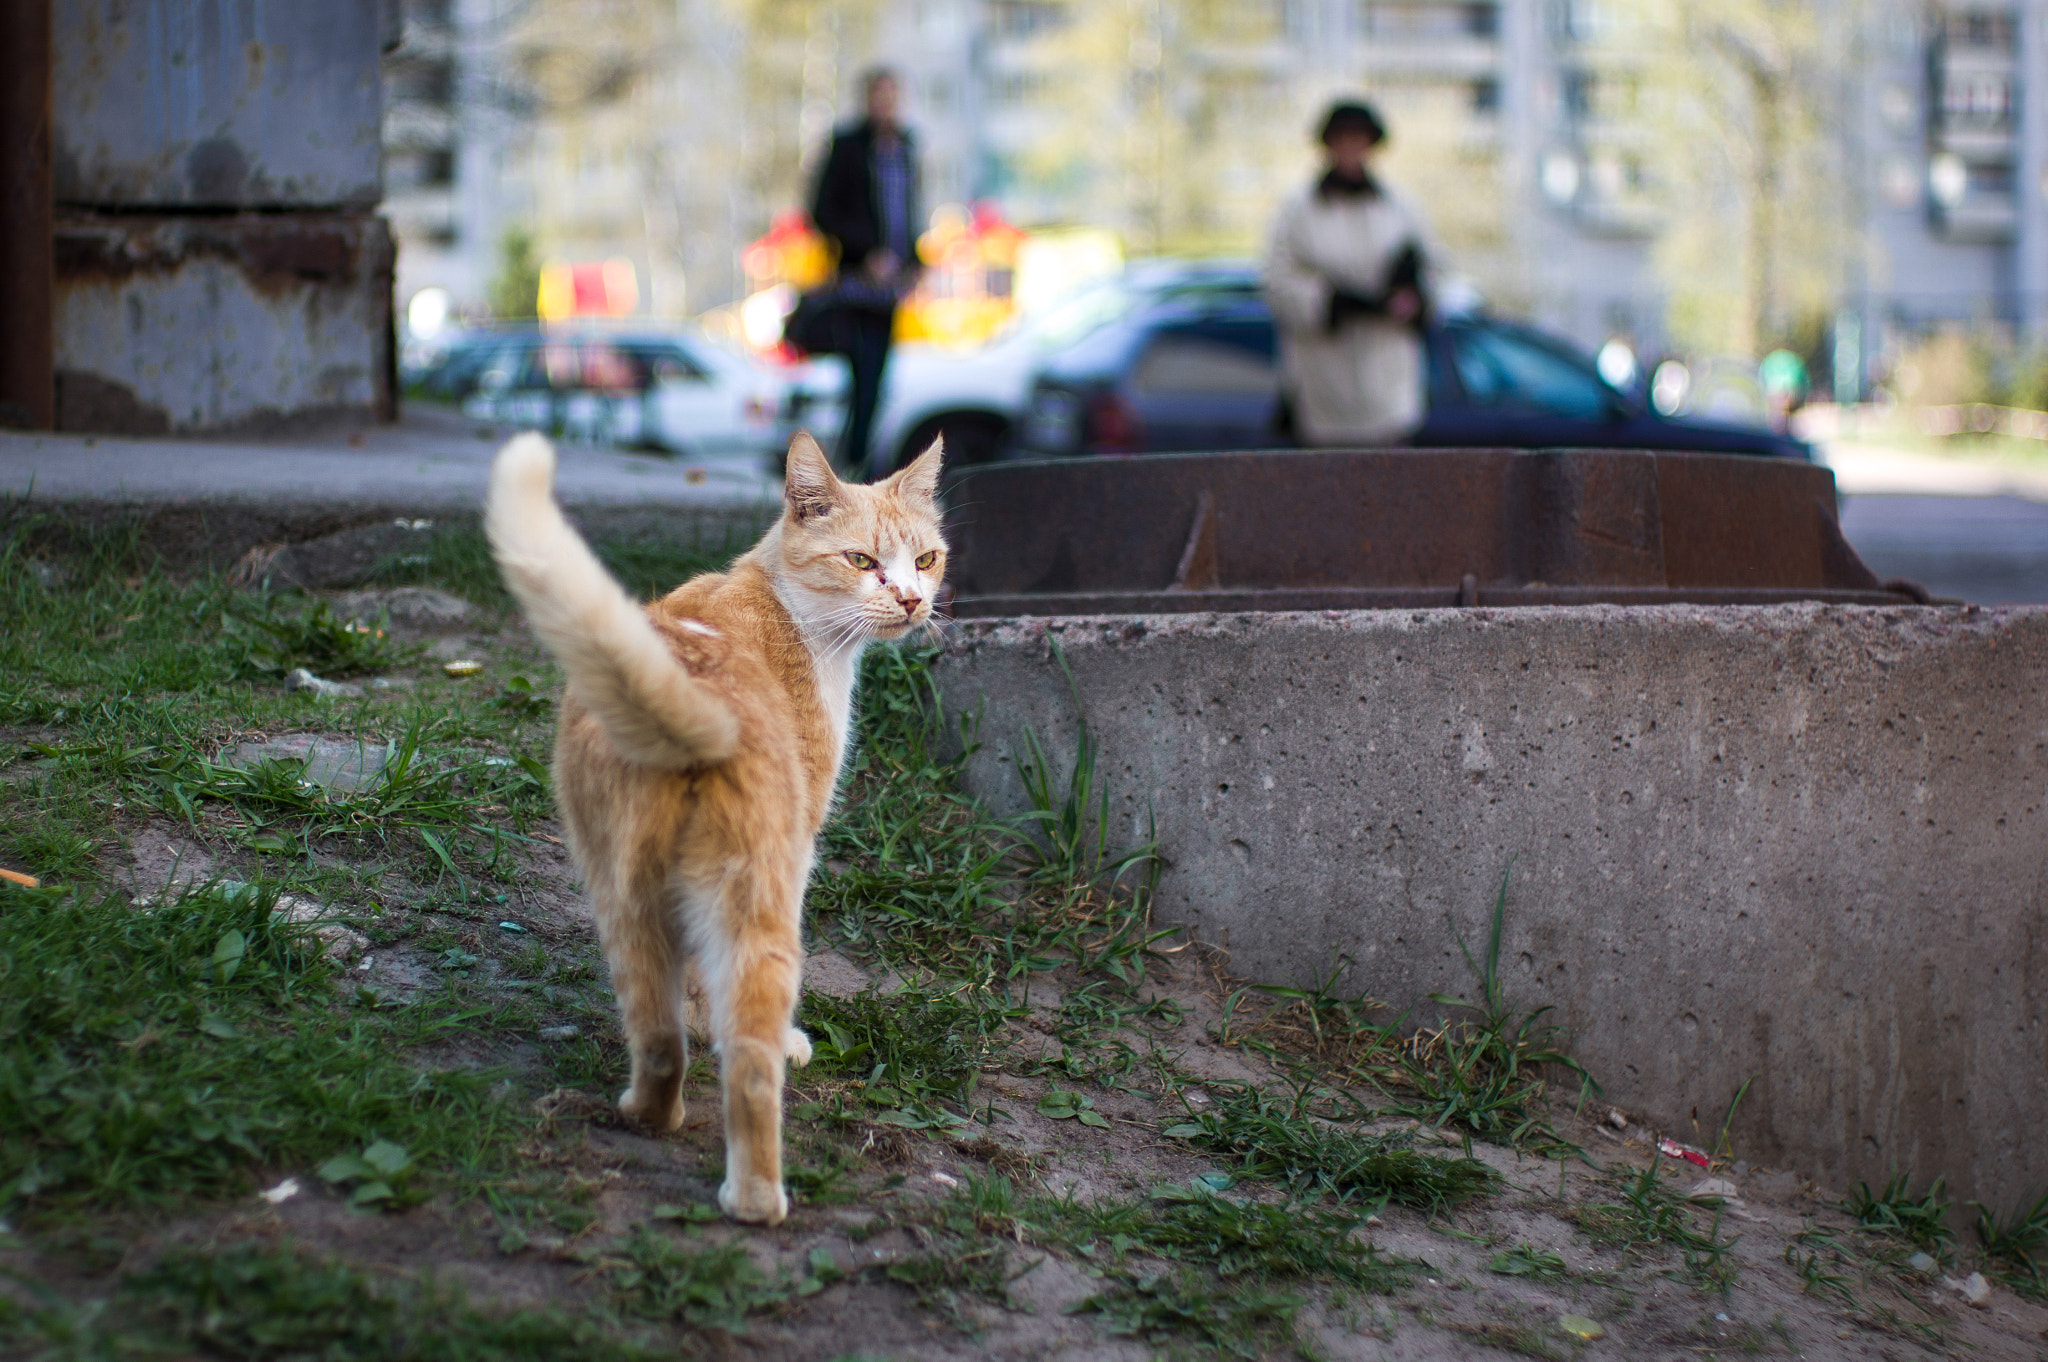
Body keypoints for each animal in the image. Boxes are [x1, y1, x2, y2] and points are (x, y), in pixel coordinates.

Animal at [483, 428, 946, 1220]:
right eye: (861, 562)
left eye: (925, 560)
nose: (913, 600)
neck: (784, 607)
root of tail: (699, 698)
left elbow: (699, 992)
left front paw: (705, 1025)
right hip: (762, 893)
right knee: (755, 1067)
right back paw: (756, 1197)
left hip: (625, 895)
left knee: (661, 1037)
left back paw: (651, 1116)